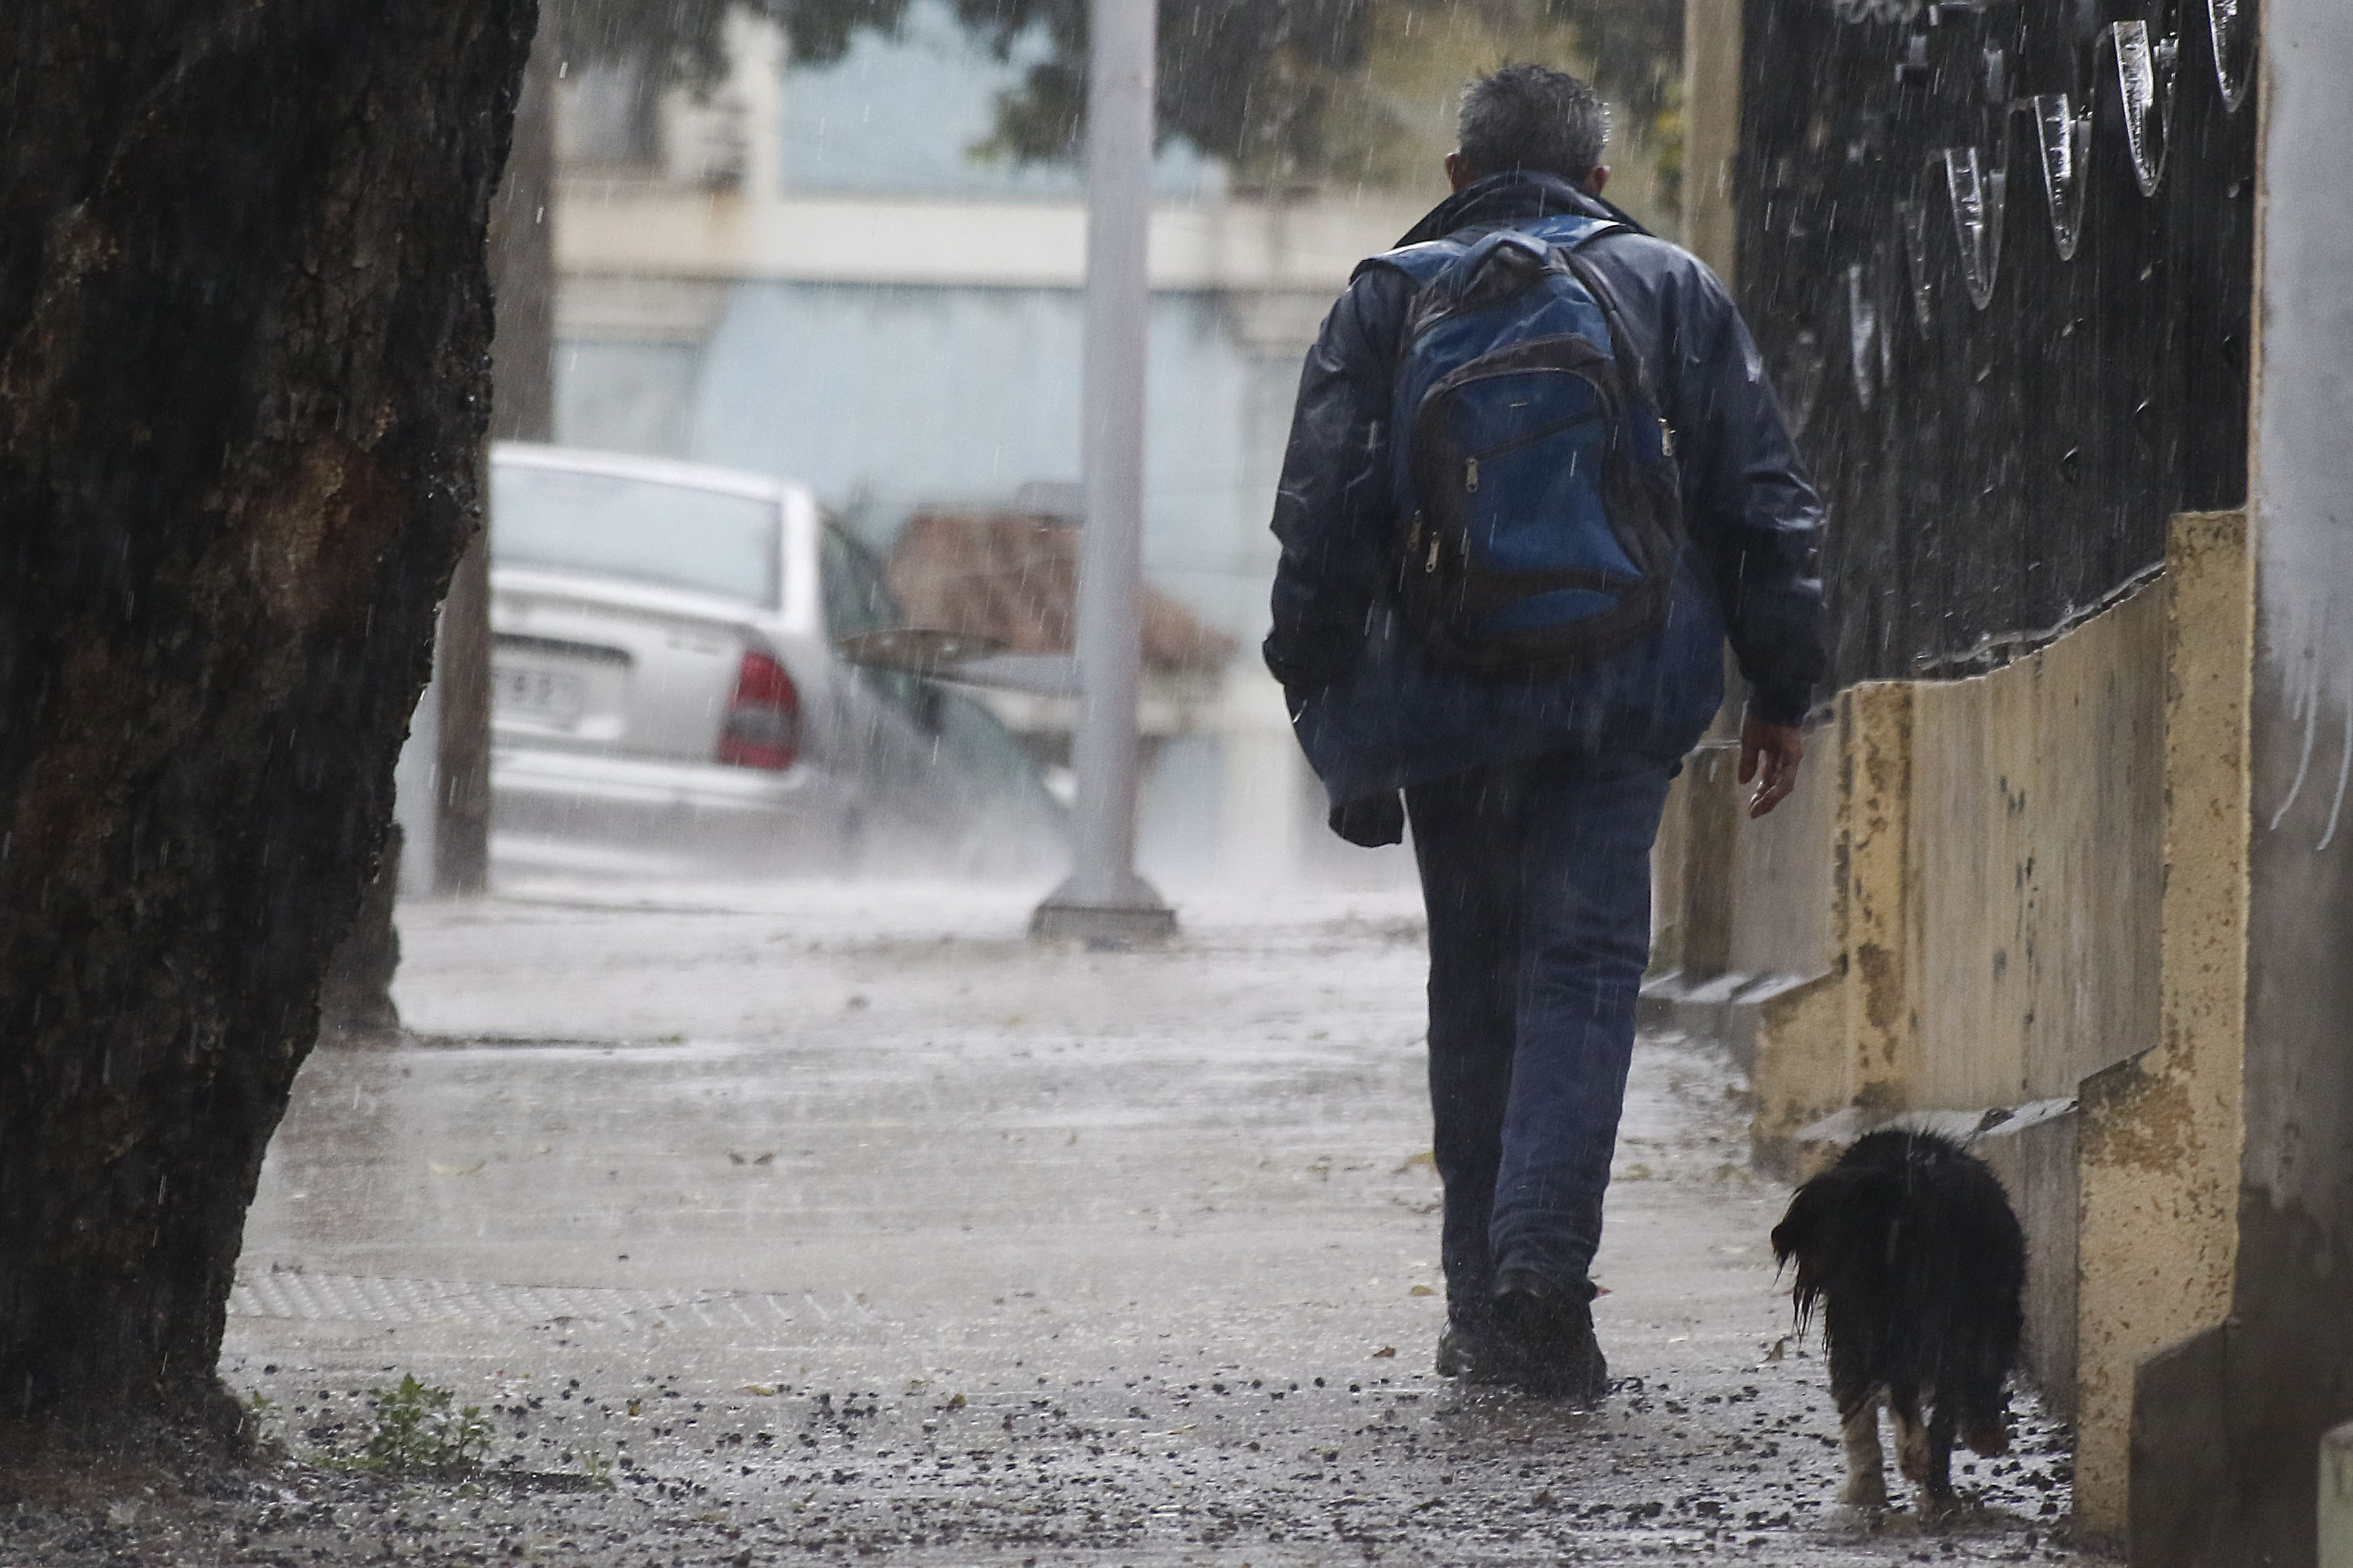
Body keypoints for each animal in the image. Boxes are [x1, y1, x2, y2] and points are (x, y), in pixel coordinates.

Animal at [1769, 1130, 2033, 1506]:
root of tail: (1907, 1185)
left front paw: (1864, 1488)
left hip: (1877, 1323)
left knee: (1902, 1393)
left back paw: (1919, 1461)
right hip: (1965, 1314)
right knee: (1941, 1397)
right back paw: (1936, 1471)